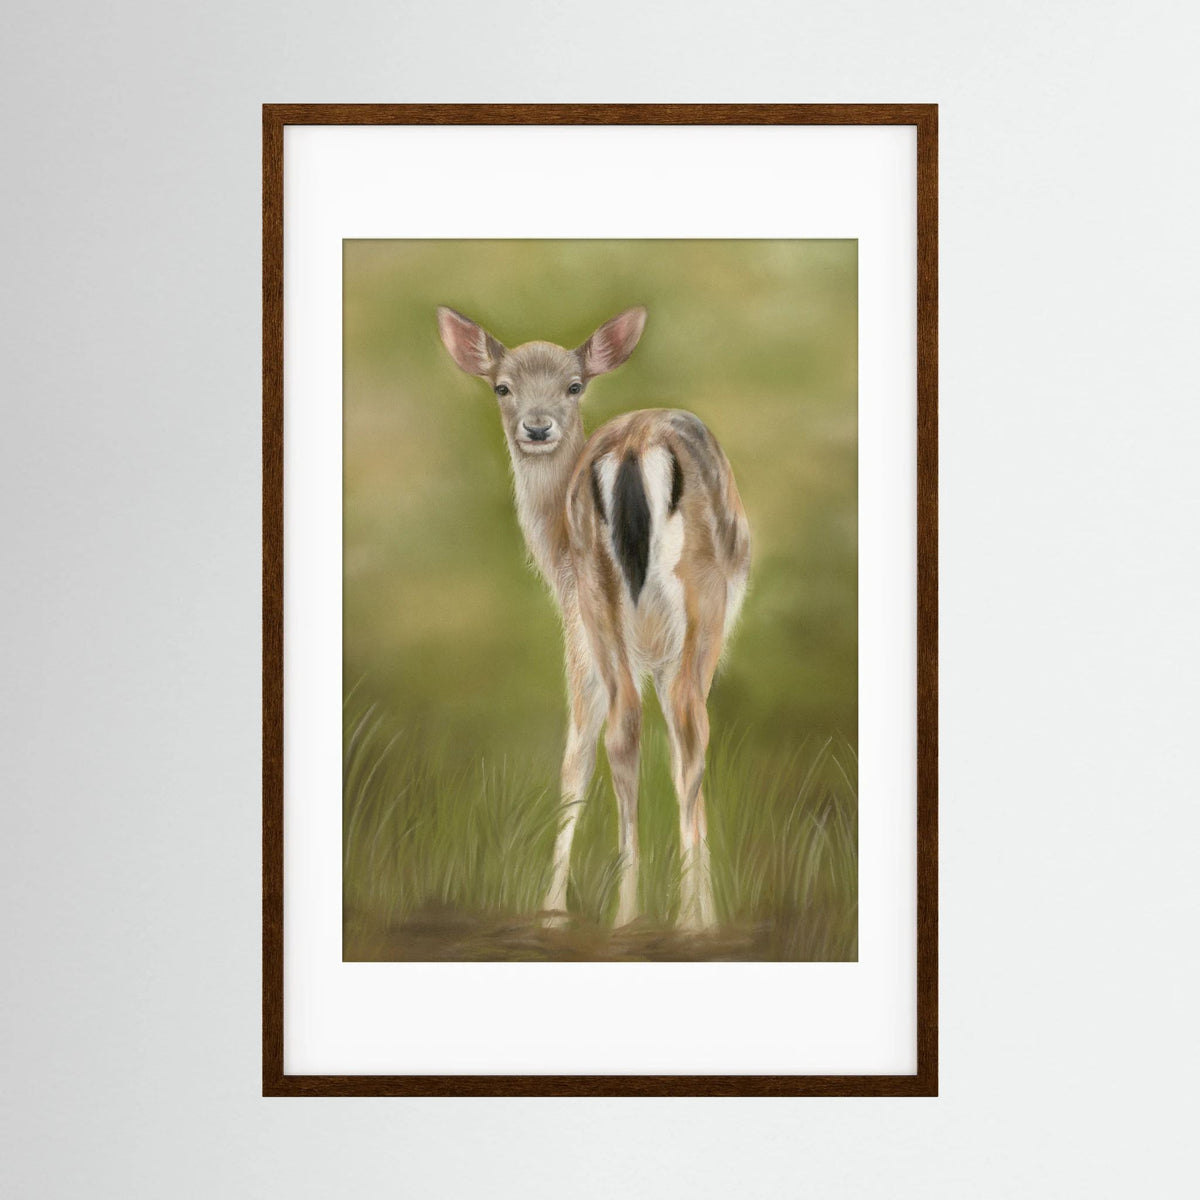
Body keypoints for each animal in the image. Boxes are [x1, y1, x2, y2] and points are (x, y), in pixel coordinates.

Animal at [436, 305, 751, 930]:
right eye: (502, 386)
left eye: (574, 385)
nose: (536, 428)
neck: (552, 552)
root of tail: (633, 448)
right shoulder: (591, 637)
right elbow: (590, 755)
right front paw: (556, 908)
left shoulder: (592, 631)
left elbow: (586, 752)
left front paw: (553, 909)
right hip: (685, 602)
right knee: (679, 727)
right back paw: (672, 920)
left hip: (607, 597)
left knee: (635, 727)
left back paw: (635, 914)